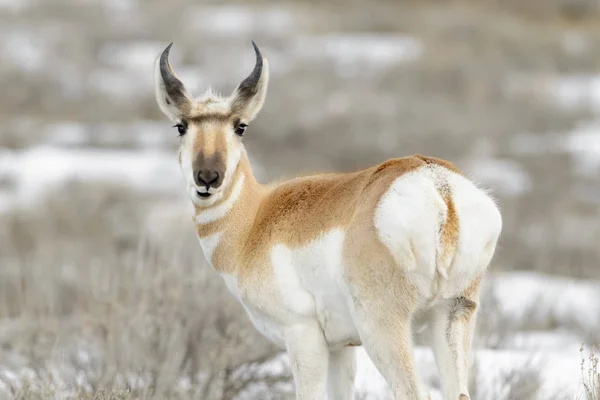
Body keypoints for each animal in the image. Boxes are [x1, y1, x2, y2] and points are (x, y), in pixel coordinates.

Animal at [155, 42, 502, 398]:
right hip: (452, 315)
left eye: (240, 126)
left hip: (382, 328)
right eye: (181, 125)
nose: (208, 177)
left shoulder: (303, 336)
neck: (256, 219)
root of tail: (436, 185)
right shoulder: (342, 348)